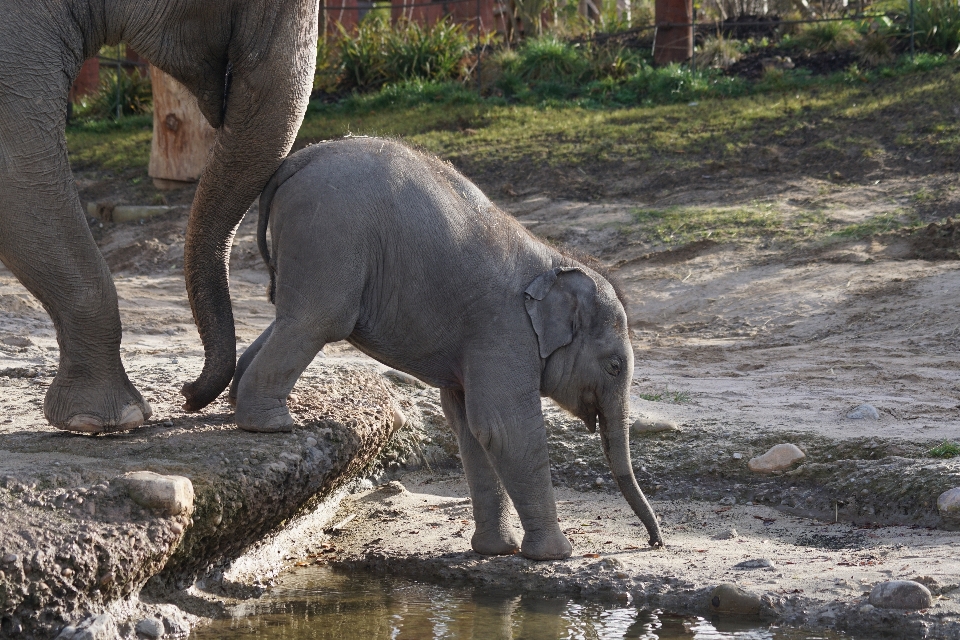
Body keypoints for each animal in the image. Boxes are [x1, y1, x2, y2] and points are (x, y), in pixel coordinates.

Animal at [232, 138, 664, 556]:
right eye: (613, 367)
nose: (654, 542)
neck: (558, 262)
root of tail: (299, 159)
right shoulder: (503, 330)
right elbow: (504, 427)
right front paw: (556, 554)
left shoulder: (477, 345)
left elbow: (469, 427)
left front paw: (496, 550)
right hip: (329, 234)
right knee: (317, 321)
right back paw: (270, 425)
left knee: (290, 319)